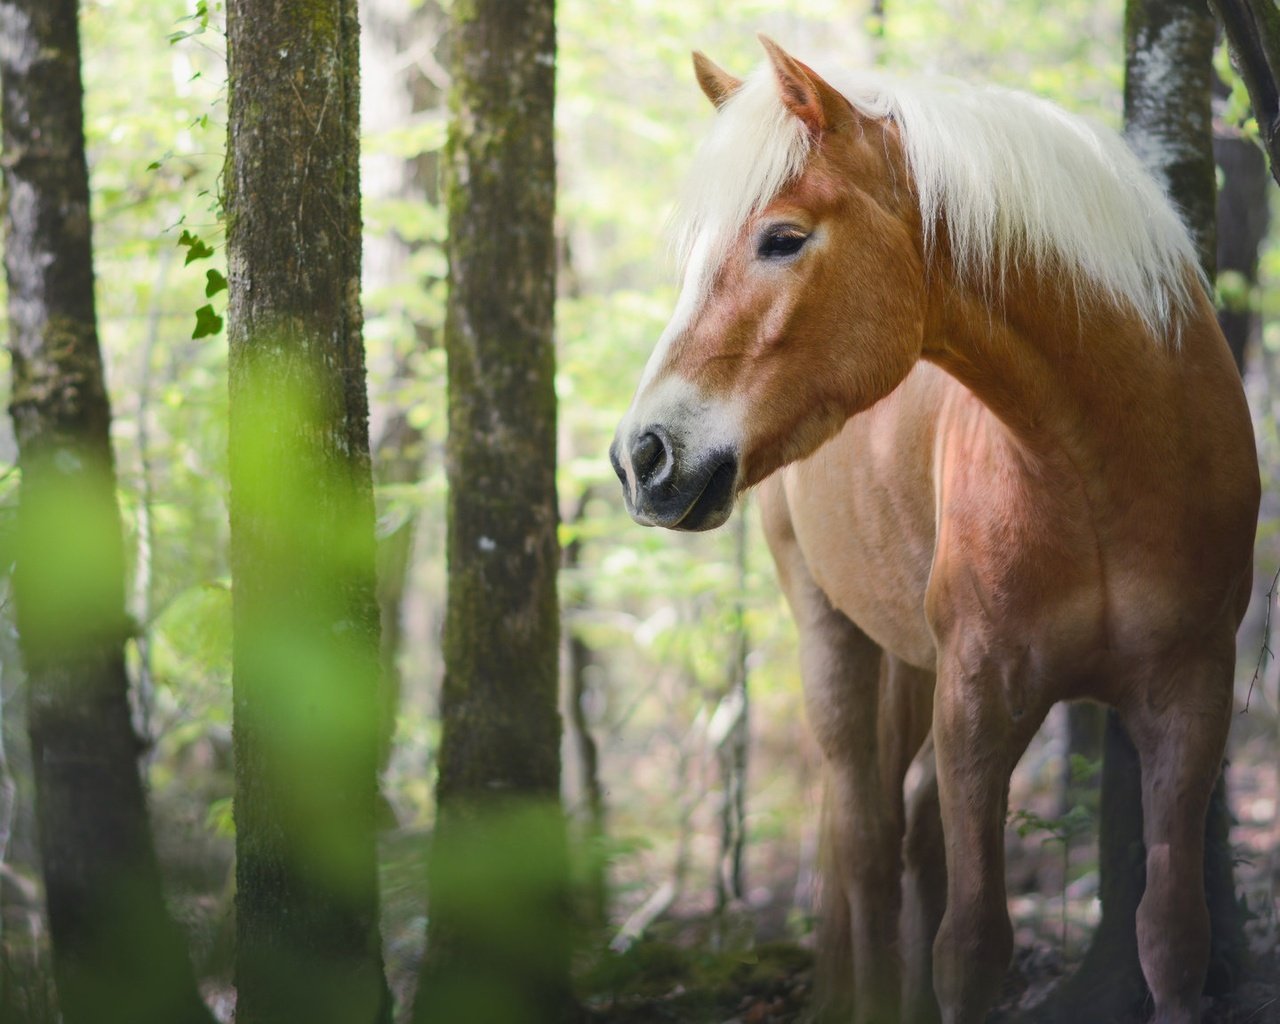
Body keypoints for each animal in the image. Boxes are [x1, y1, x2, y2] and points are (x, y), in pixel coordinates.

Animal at [609, 33, 1259, 1024]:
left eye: (783, 238)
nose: (641, 456)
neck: (1102, 468)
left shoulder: (1191, 695)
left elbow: (1174, 934)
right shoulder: (979, 698)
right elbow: (973, 946)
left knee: (909, 827)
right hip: (832, 637)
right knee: (869, 841)